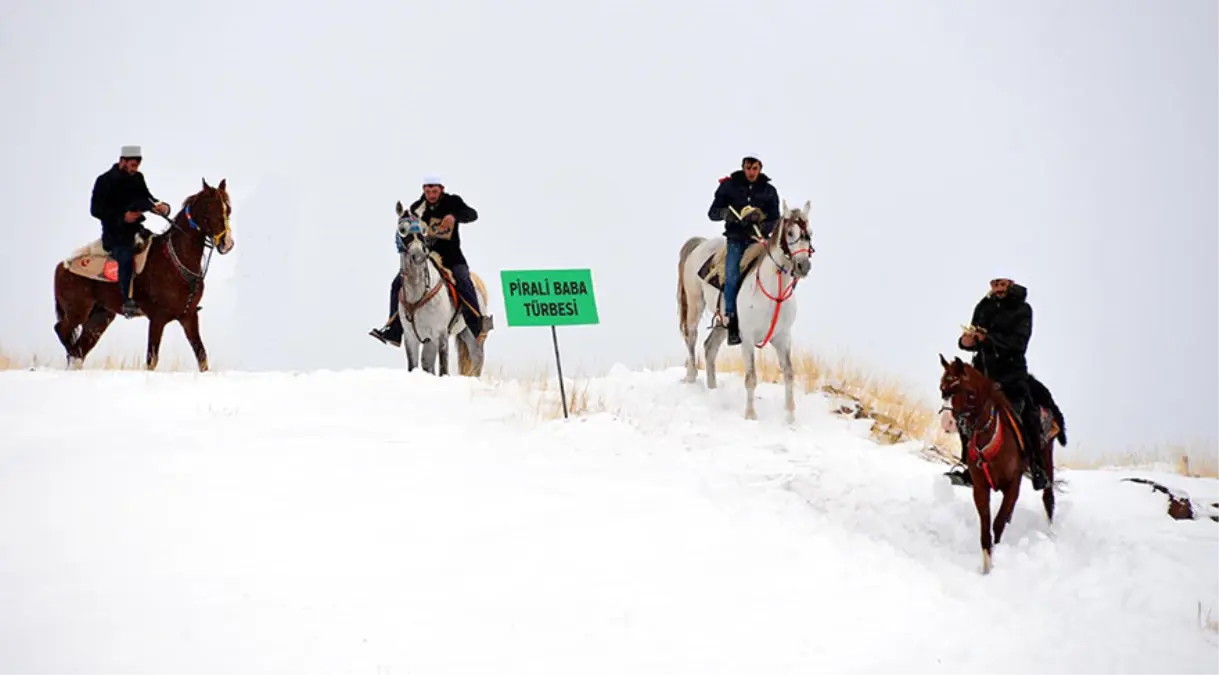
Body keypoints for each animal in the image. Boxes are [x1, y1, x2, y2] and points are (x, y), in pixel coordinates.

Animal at [51, 175, 235, 370]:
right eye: (209, 209)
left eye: (228, 210)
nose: (227, 243)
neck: (175, 261)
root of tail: (62, 266)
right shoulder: (157, 318)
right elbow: (151, 360)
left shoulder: (189, 317)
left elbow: (202, 357)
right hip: (78, 311)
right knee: (61, 330)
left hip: (100, 317)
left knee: (80, 348)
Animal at [394, 202, 490, 375]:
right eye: (402, 230)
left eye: (423, 230)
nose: (418, 257)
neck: (418, 293)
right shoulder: (411, 338)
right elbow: (413, 367)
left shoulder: (441, 334)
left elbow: (443, 369)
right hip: (430, 342)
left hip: (472, 336)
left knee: (477, 361)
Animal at [682, 198, 814, 419]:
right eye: (790, 233)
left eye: (810, 232)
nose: (803, 266)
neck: (774, 293)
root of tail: (701, 243)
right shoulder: (747, 338)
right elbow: (751, 377)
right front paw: (751, 415)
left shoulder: (783, 338)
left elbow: (789, 374)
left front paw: (790, 418)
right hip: (695, 304)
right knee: (691, 338)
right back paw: (691, 378)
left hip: (723, 321)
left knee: (710, 348)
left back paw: (712, 389)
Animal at [936, 350, 1062, 572]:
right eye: (942, 388)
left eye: (968, 392)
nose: (948, 423)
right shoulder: (980, 487)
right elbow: (986, 525)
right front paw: (987, 565)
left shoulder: (1013, 485)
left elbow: (999, 522)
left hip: (1047, 454)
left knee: (1048, 498)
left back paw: (1049, 531)